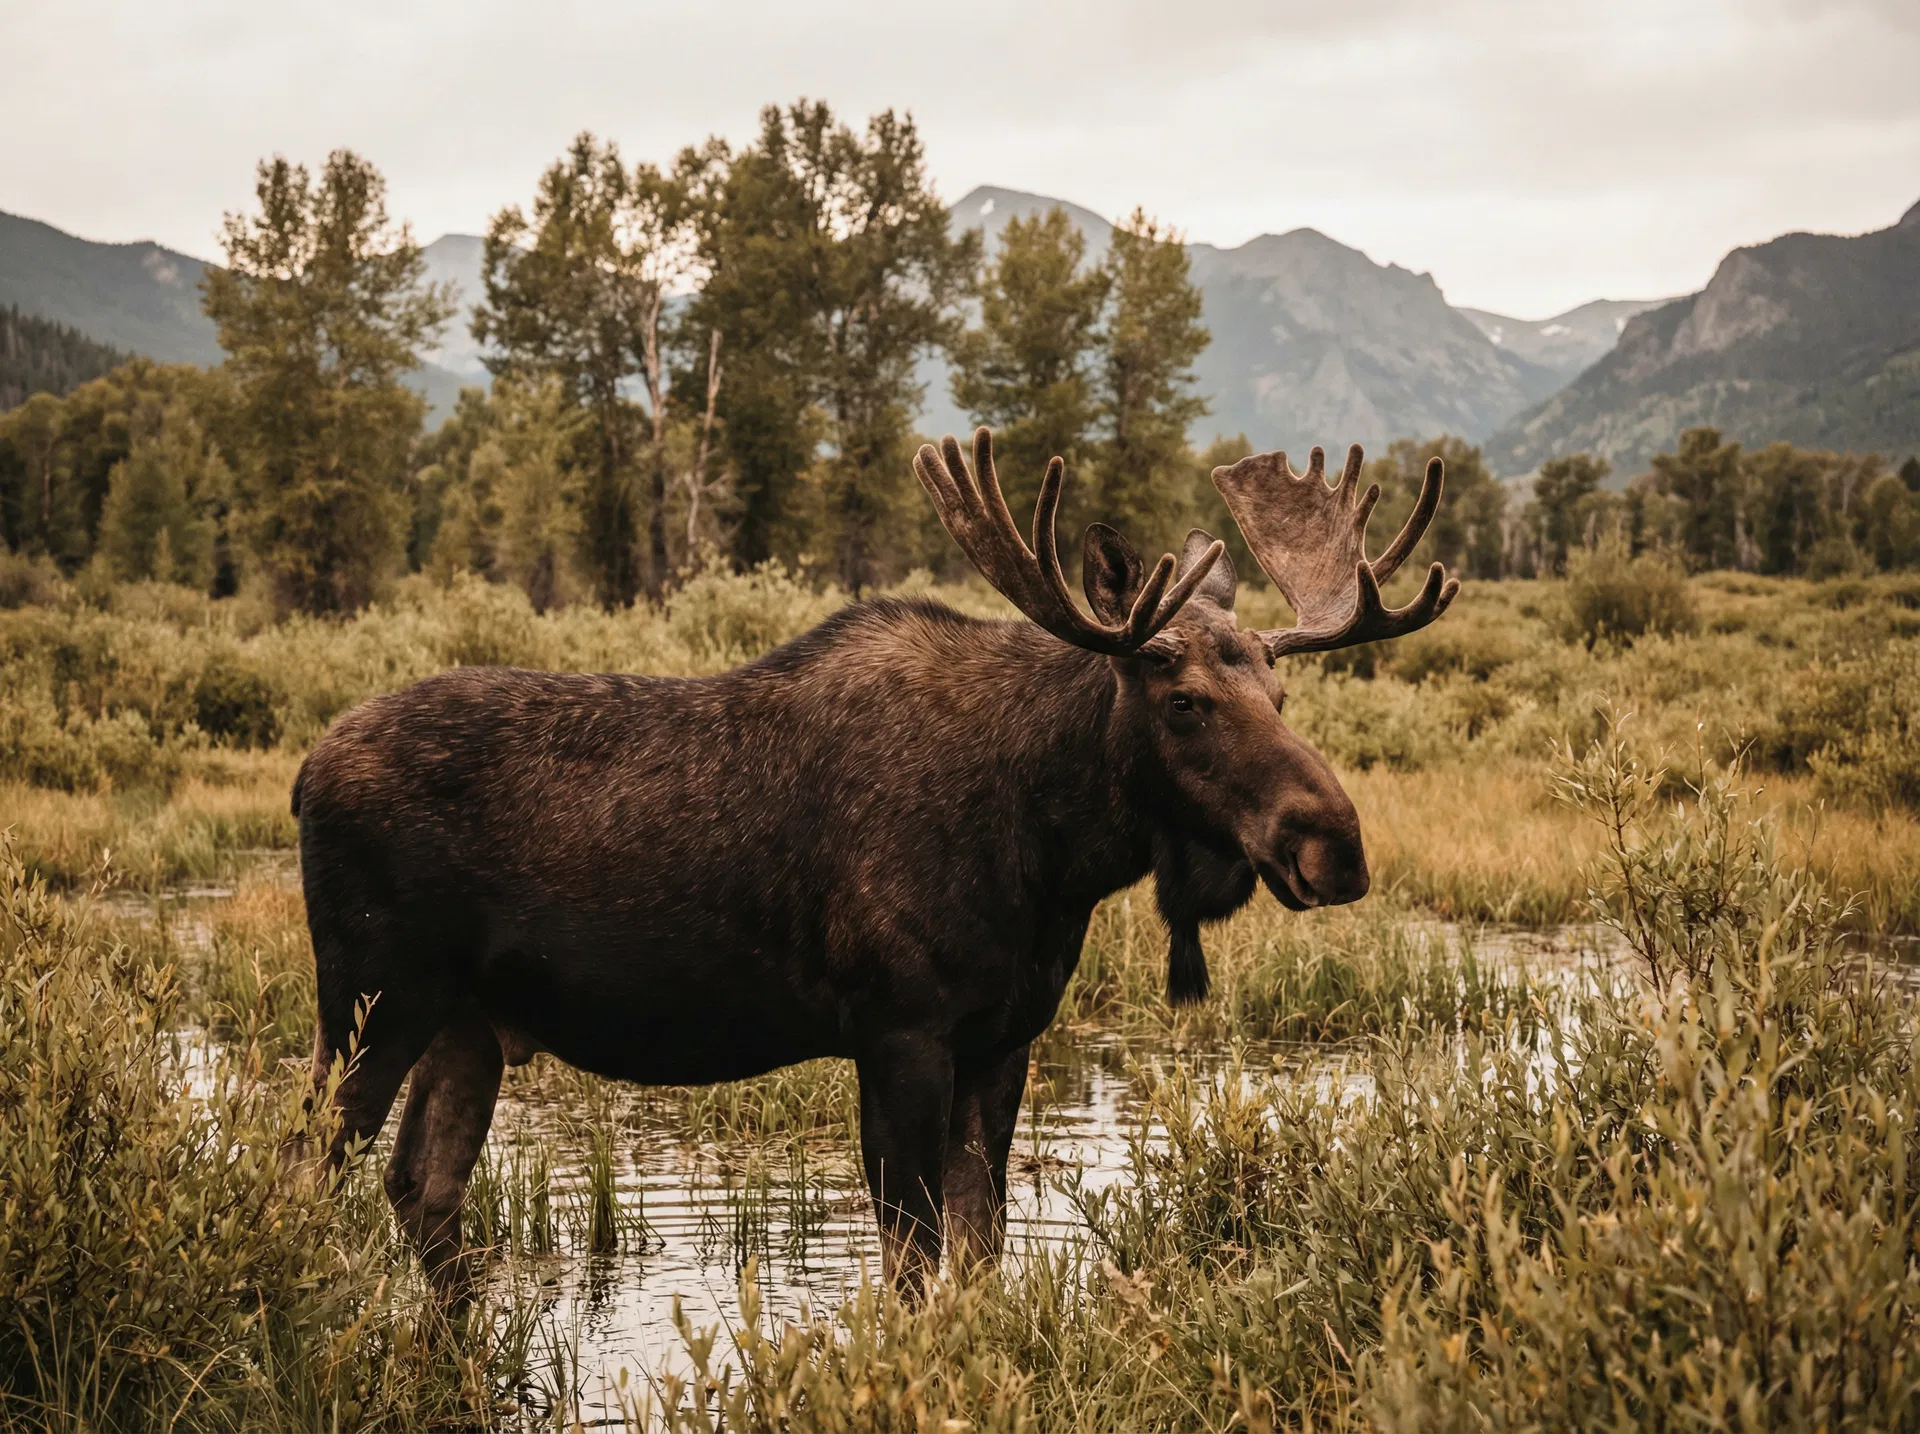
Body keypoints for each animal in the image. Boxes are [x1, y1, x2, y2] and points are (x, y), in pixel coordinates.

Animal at [294, 427, 1457, 1292]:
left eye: (1282, 692)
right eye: (1183, 702)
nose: (1334, 845)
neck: (1052, 856)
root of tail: (303, 775)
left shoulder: (1005, 1037)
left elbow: (981, 1248)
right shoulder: (900, 1028)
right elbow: (911, 1255)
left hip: (467, 1024)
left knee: (423, 1189)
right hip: (371, 1001)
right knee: (309, 1168)